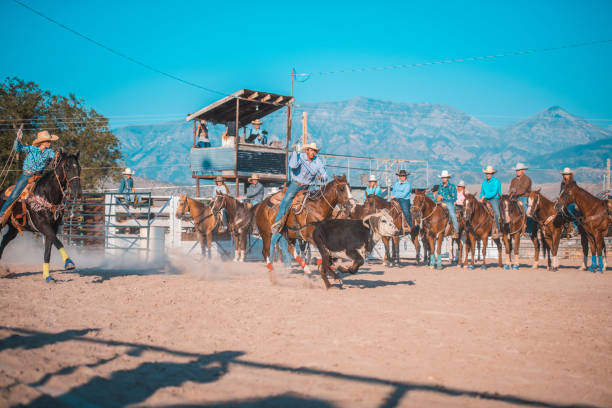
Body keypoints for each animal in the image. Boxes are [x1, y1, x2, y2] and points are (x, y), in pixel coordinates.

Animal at [0, 149, 82, 280]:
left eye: (79, 168)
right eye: (67, 167)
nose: (77, 192)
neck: (46, 194)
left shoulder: (53, 227)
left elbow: (48, 251)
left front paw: (47, 277)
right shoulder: (42, 225)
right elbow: (57, 241)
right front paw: (68, 262)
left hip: (14, 228)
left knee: (5, 240)